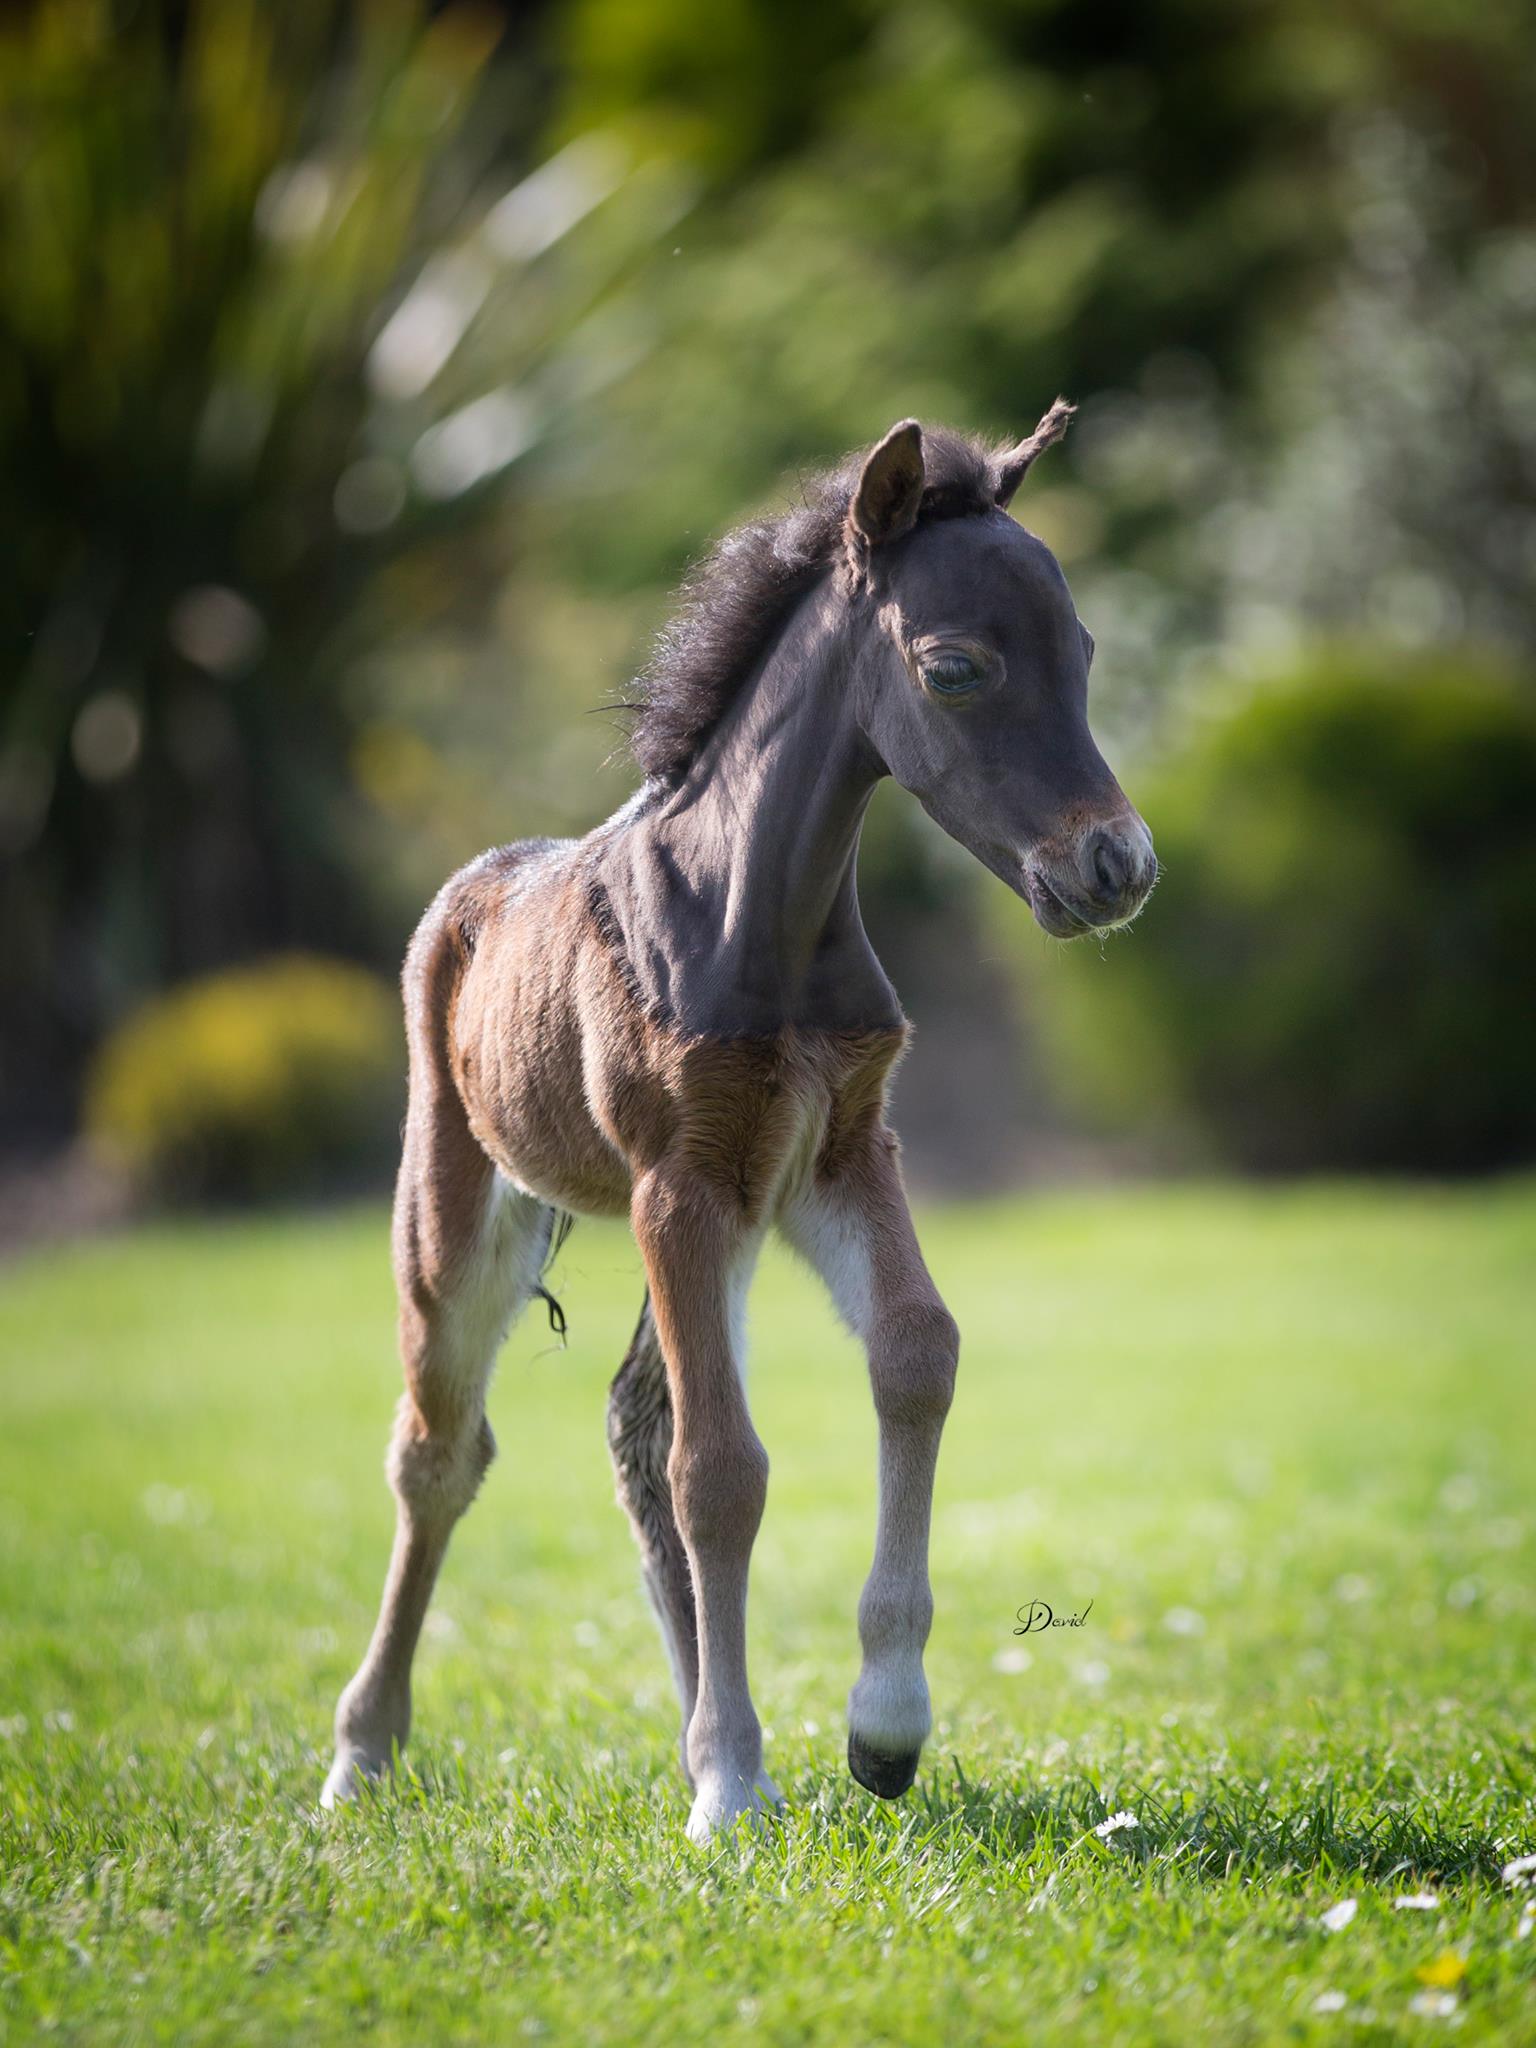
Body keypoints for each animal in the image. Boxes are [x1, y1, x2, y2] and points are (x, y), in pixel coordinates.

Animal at [321, 401, 1157, 1841]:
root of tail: (470, 889)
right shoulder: (679, 1182)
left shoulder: (836, 1153)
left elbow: (915, 1354)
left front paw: (881, 1727)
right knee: (441, 1450)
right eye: (955, 668)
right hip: (461, 1204)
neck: (756, 914)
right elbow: (722, 1468)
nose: (1116, 867)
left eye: (1086, 652)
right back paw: (366, 1751)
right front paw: (729, 1789)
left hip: (737, 1224)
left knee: (631, 1420)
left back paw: (702, 1731)